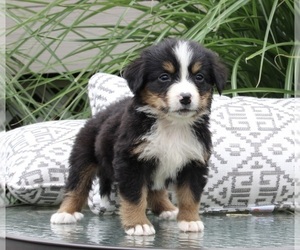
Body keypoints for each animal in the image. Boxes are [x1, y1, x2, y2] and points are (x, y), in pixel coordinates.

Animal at [50, 38, 227, 235]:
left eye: (199, 77)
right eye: (164, 77)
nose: (186, 98)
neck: (171, 125)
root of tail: (99, 114)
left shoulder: (194, 162)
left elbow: (190, 195)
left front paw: (190, 221)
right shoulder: (131, 162)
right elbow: (134, 196)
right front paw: (138, 224)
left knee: (155, 190)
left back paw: (167, 209)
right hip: (83, 155)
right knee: (77, 186)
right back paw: (66, 213)